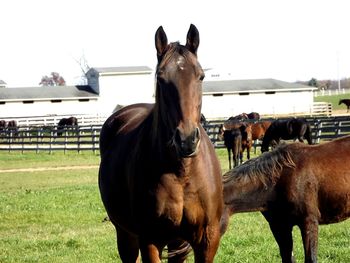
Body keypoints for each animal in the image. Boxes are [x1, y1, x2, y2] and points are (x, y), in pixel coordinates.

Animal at [98, 23, 224, 262]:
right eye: (161, 78)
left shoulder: (207, 240)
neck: (182, 172)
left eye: (201, 76)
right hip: (125, 234)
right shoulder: (150, 239)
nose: (186, 140)